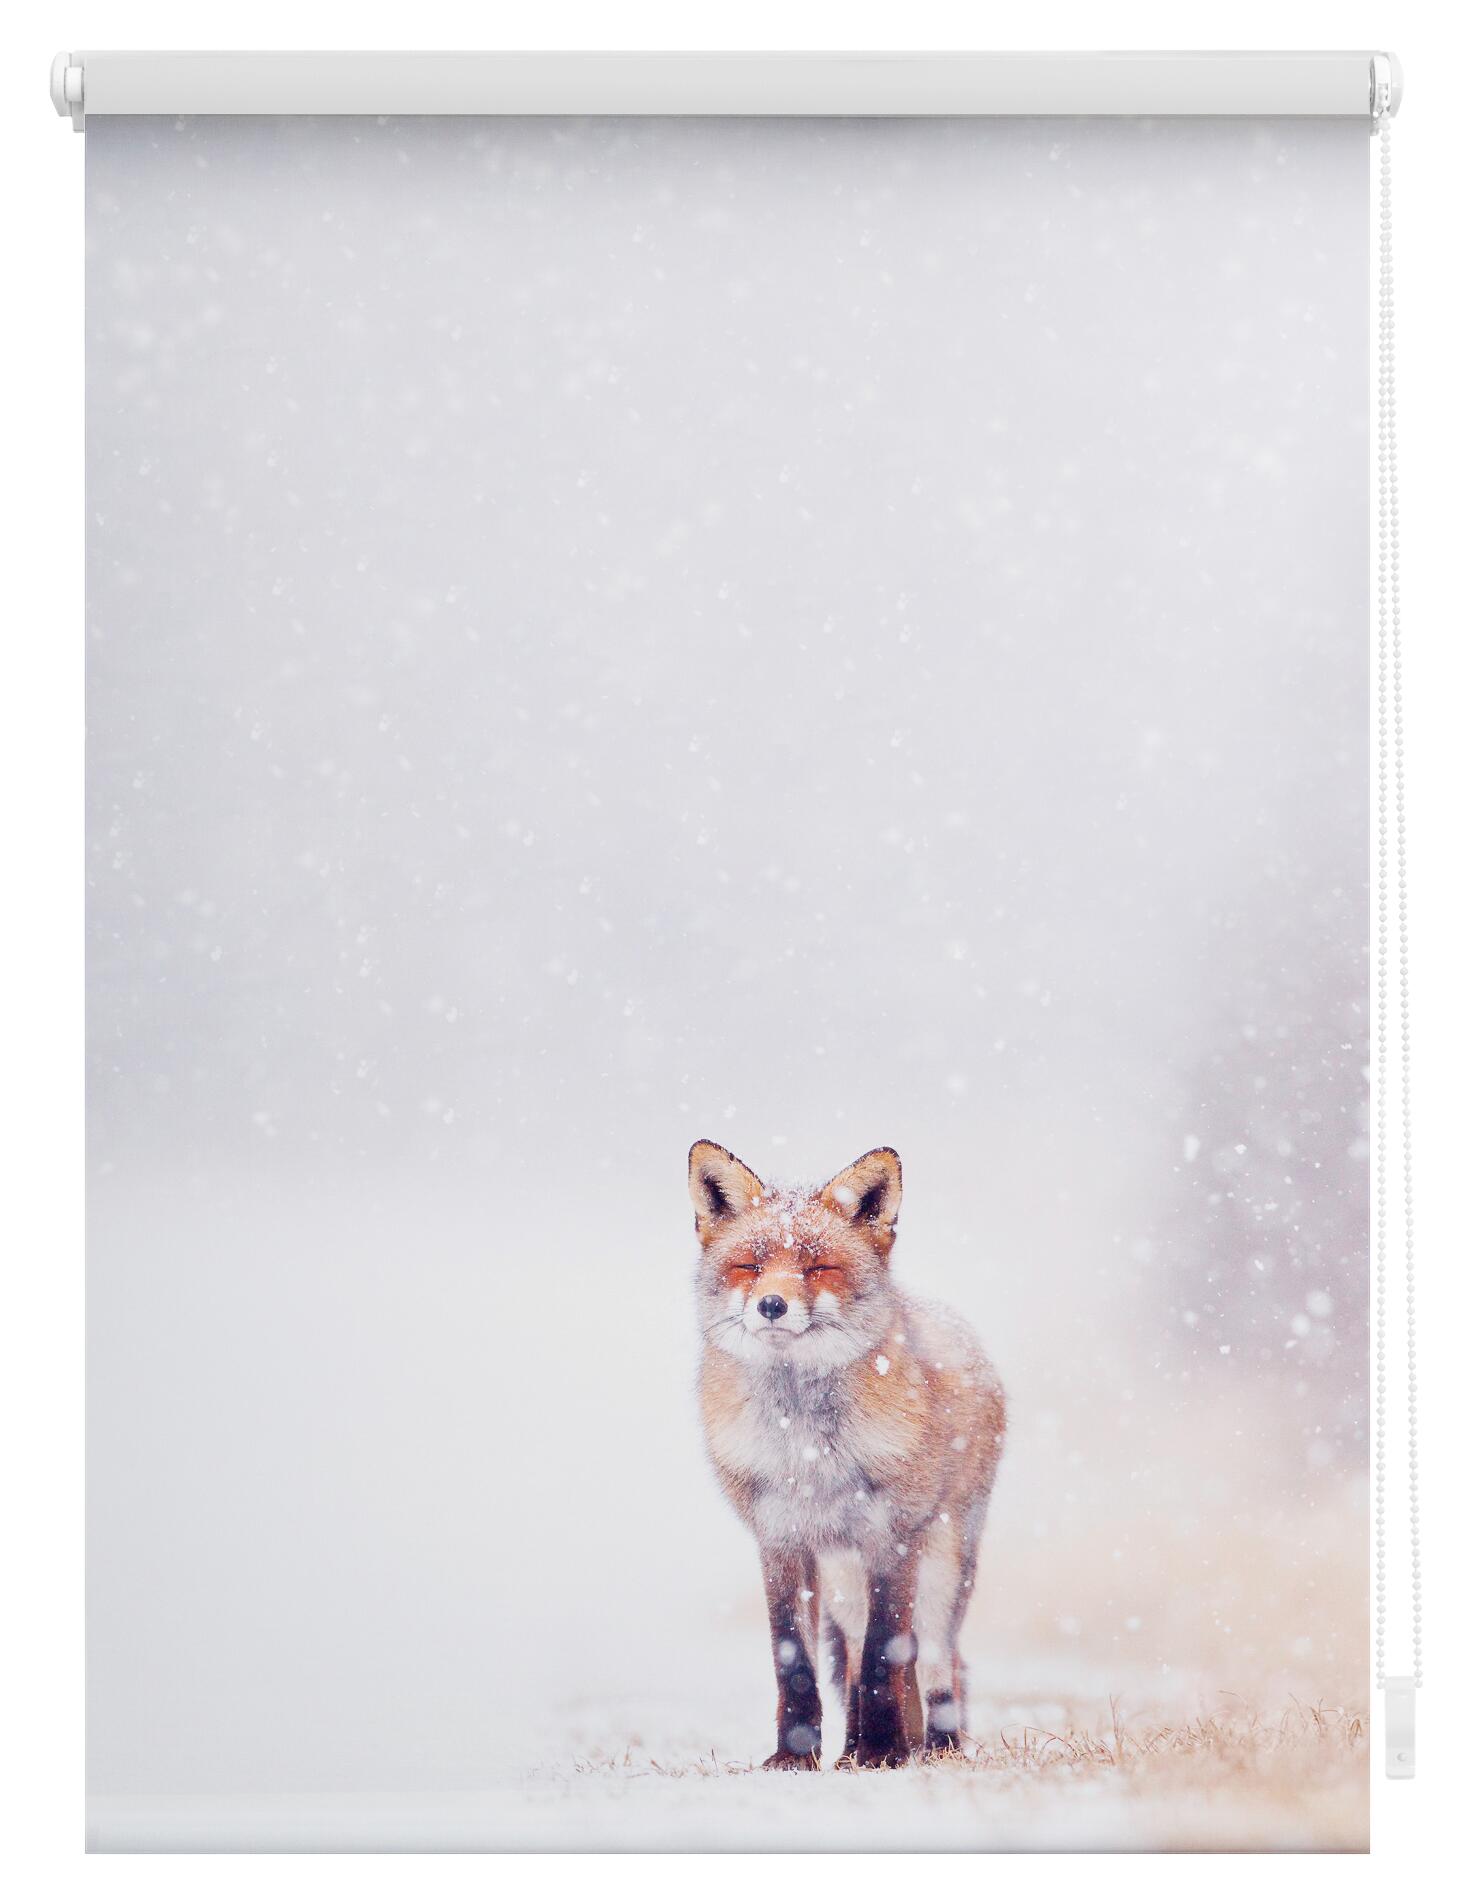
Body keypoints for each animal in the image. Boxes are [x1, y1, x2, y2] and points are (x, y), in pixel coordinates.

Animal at [689, 1139, 1006, 1770]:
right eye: (750, 1267)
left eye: (818, 1268)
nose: (771, 1304)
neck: (806, 1450)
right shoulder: (780, 1539)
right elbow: (796, 1661)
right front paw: (795, 1757)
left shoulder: (892, 1535)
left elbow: (890, 1654)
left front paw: (886, 1753)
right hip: (841, 1576)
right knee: (857, 1656)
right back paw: (852, 1749)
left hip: (942, 1563)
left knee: (936, 1662)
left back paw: (933, 1748)